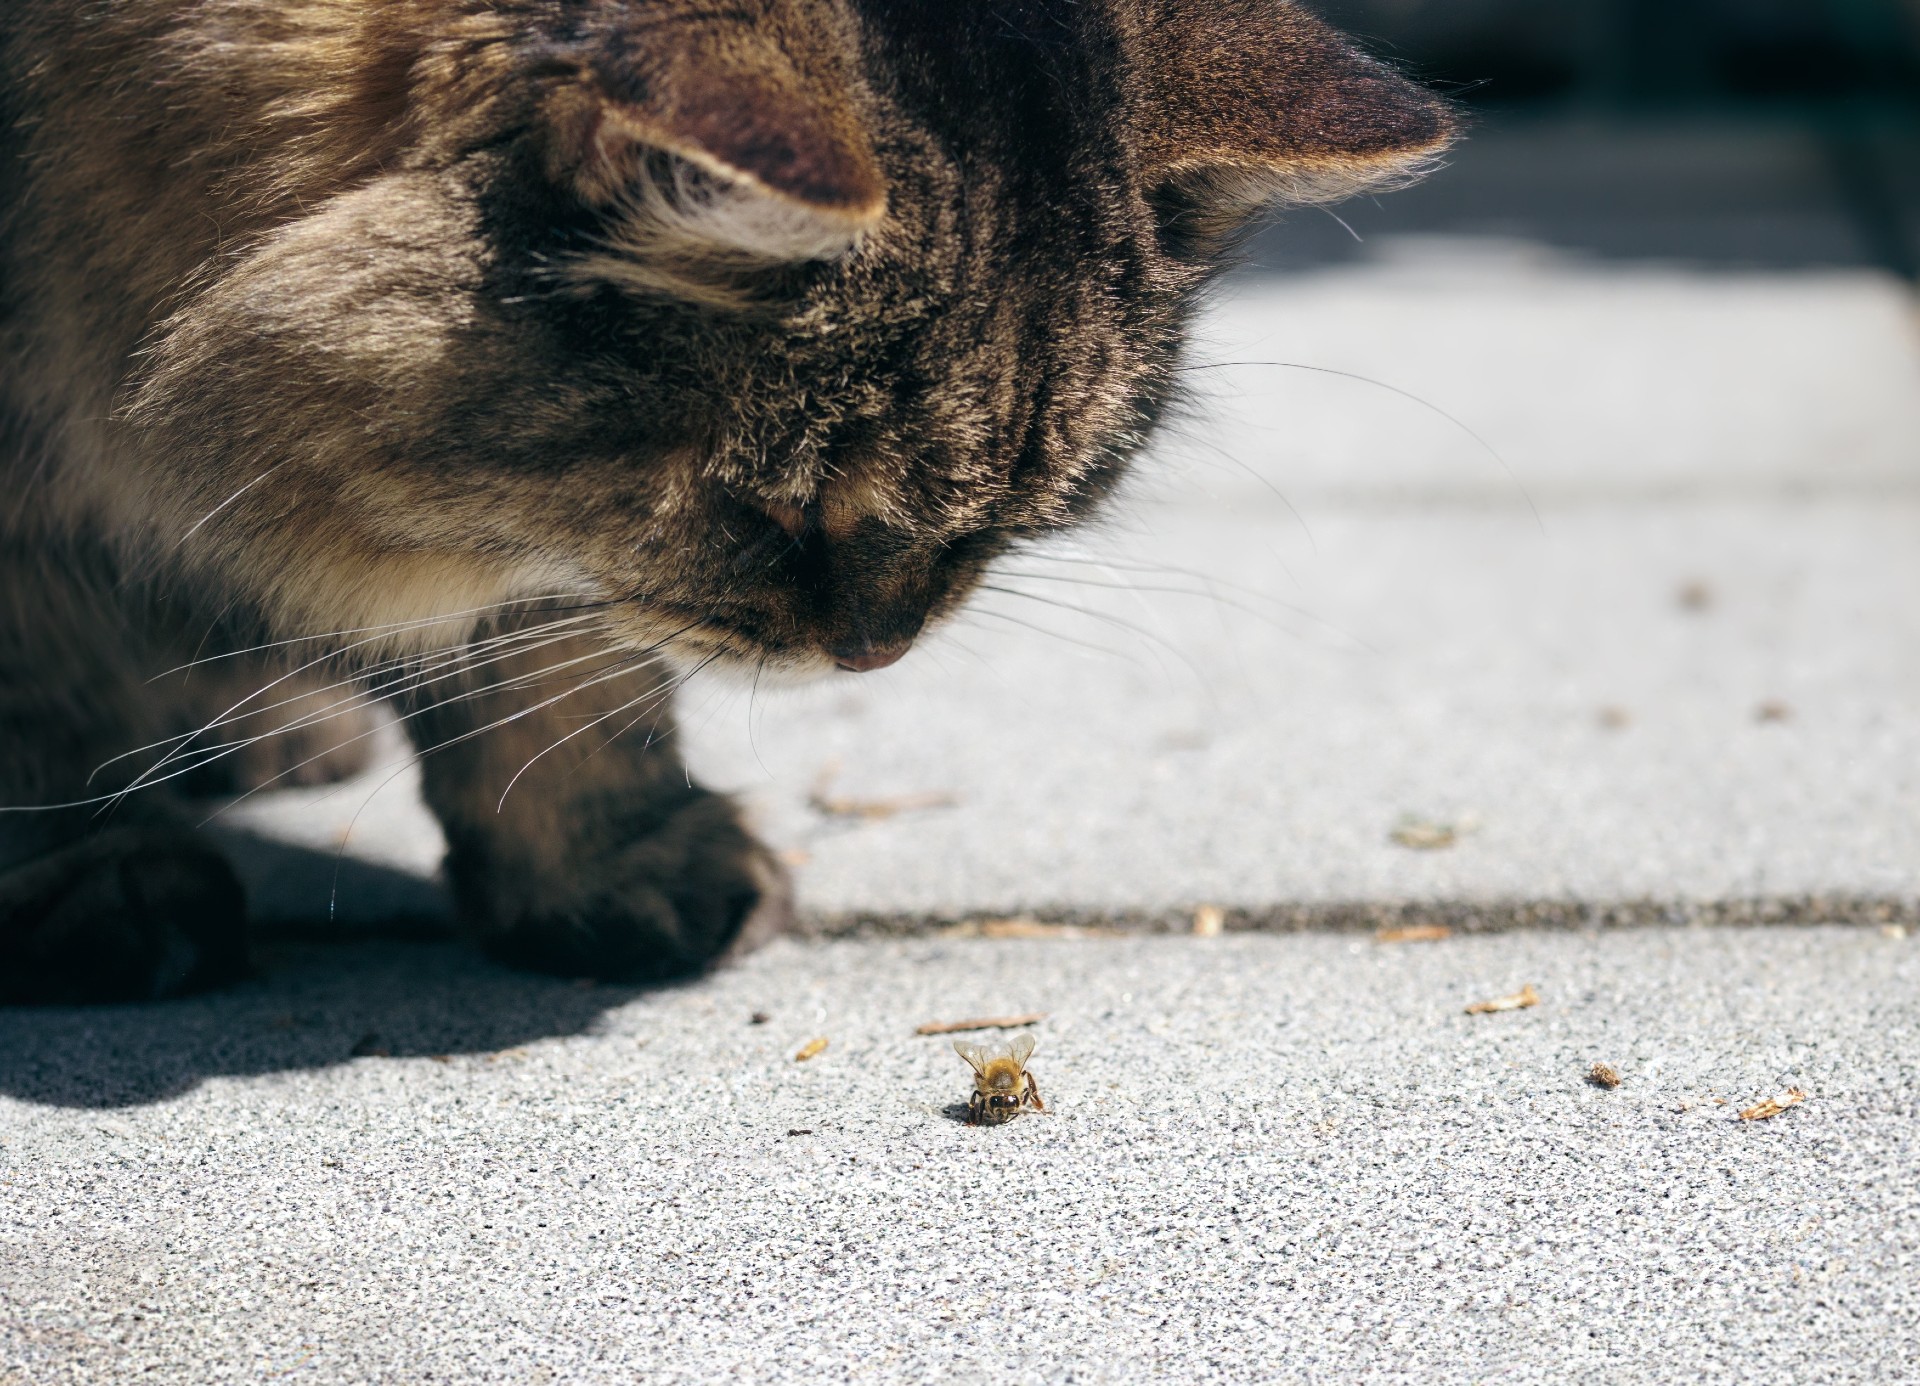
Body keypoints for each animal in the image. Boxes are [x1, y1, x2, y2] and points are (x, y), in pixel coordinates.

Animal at [0, 0, 1443, 990]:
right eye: (771, 516)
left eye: (1003, 523)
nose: (875, 652)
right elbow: (49, 703)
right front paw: (98, 879)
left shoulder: (537, 554)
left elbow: (554, 665)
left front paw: (608, 865)